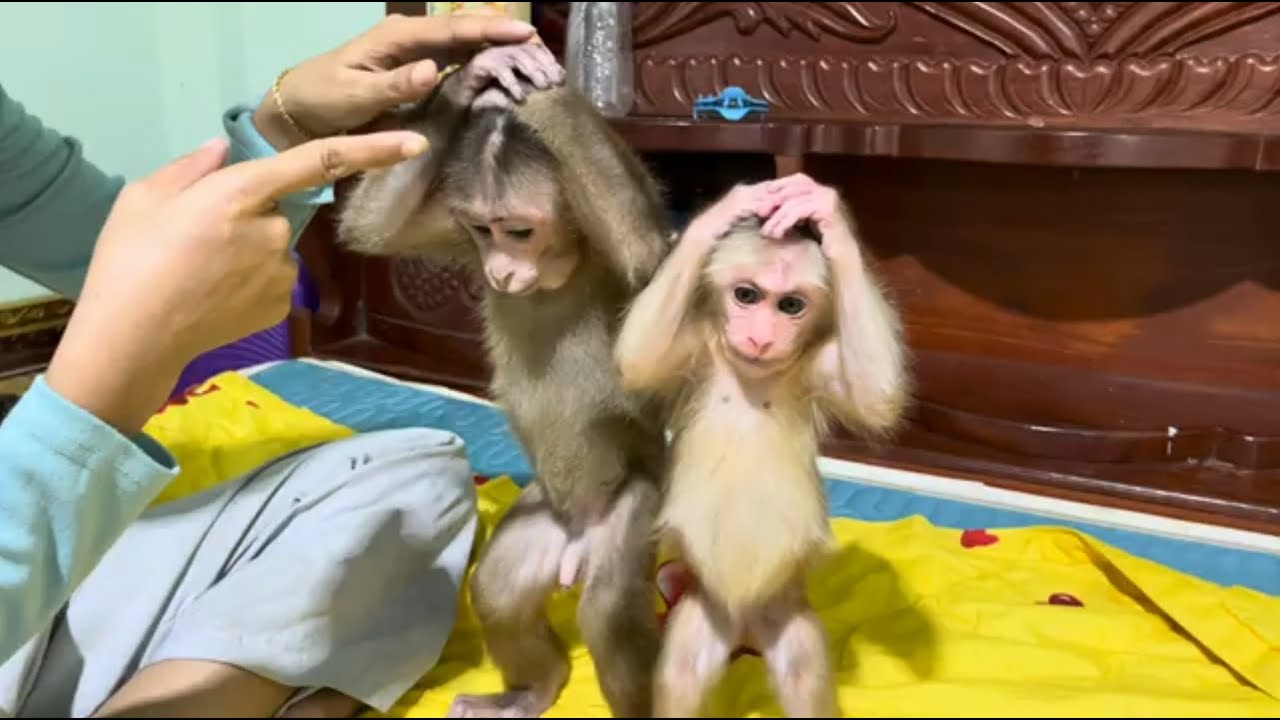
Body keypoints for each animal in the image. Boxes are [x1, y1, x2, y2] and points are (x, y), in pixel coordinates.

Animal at [335, 42, 675, 718]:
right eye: (482, 230)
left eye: (519, 231)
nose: (501, 270)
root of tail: (574, 549)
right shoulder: (452, 235)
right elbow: (370, 228)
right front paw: (475, 76)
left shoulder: (616, 263)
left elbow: (643, 251)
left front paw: (544, 88)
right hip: (541, 521)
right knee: (495, 588)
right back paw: (530, 691)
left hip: (630, 514)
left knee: (608, 610)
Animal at [613, 173, 910, 718]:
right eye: (747, 296)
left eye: (790, 305)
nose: (762, 335)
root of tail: (744, 623)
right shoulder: (695, 354)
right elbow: (639, 359)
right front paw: (722, 212)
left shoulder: (818, 371)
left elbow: (876, 395)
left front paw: (828, 219)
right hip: (706, 612)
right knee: (681, 675)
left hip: (784, 612)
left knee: (802, 673)